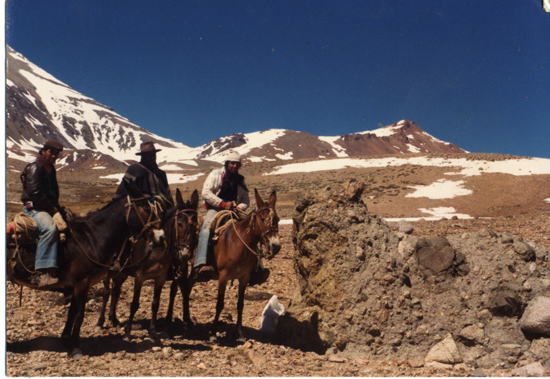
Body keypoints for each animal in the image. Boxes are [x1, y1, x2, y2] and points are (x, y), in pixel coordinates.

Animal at [5, 180, 160, 358]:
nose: (160, 235)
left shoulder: (76, 284)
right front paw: (76, 347)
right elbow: (79, 315)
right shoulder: (82, 282)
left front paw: (66, 341)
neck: (91, 238)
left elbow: (72, 313)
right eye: (146, 208)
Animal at [96, 189, 199, 342]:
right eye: (179, 223)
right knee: (106, 292)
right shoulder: (140, 277)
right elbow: (134, 304)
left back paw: (113, 318)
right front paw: (128, 332)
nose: (185, 253)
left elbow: (156, 304)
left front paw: (153, 332)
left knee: (115, 291)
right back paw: (100, 321)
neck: (155, 248)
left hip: (122, 273)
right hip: (107, 272)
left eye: (196, 225)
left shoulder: (161, 278)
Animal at [187, 190, 282, 342]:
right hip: (193, 268)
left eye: (278, 219)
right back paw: (188, 320)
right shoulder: (223, 277)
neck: (237, 243)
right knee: (187, 287)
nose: (276, 246)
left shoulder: (244, 278)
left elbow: (240, 305)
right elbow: (219, 304)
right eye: (262, 219)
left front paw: (240, 334)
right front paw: (213, 334)